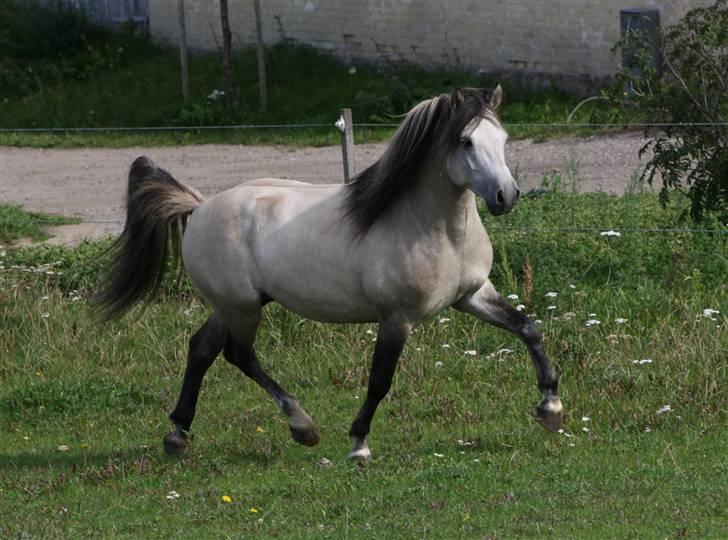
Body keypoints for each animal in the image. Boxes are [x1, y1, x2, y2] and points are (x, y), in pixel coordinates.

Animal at [95, 84, 564, 460]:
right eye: (466, 141)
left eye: (502, 138)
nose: (506, 196)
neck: (434, 229)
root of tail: (199, 207)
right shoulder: (397, 319)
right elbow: (379, 381)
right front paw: (359, 444)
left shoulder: (472, 295)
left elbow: (528, 328)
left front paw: (551, 409)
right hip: (242, 307)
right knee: (237, 354)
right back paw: (302, 426)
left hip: (233, 306)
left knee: (202, 350)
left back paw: (178, 434)